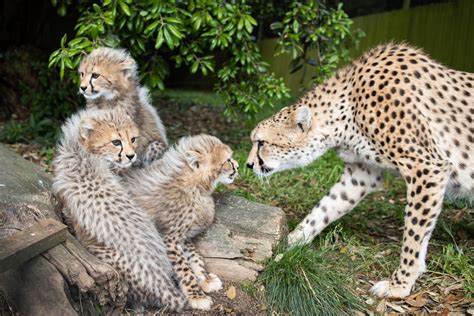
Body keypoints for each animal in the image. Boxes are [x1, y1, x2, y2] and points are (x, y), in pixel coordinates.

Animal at [246, 43, 472, 298]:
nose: (249, 164)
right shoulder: (362, 174)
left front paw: (400, 284)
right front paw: (290, 242)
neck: (347, 108)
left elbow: (414, 233)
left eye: (261, 143)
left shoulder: (427, 167)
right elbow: (326, 207)